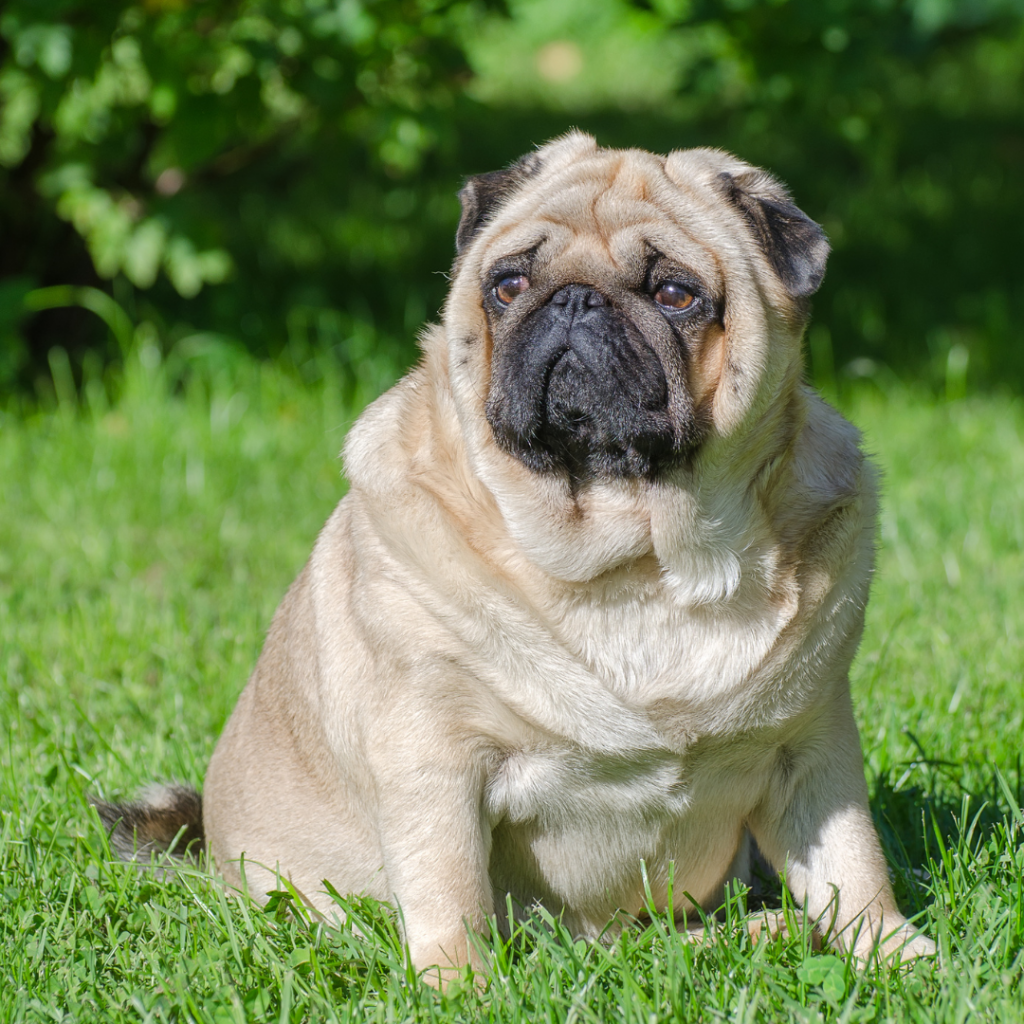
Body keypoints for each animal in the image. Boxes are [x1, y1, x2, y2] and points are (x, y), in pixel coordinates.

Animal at [96, 132, 937, 978]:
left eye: (675, 294)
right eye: (508, 285)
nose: (573, 300)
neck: (637, 558)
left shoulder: (812, 751)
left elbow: (852, 862)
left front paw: (895, 952)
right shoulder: (433, 760)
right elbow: (450, 888)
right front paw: (459, 983)